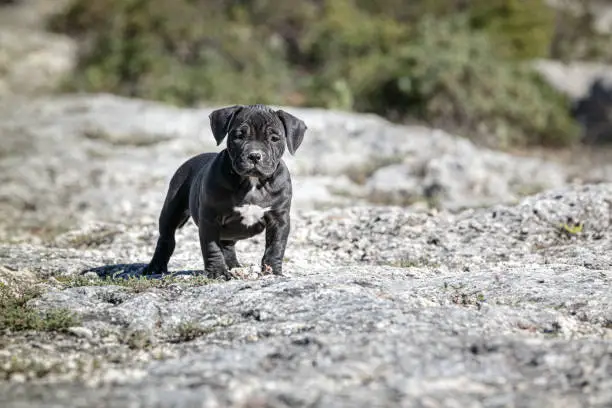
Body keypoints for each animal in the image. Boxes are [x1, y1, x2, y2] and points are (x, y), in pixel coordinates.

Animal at [142, 103, 306, 278]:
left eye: (274, 138)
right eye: (239, 136)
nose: (255, 155)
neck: (252, 182)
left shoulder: (279, 219)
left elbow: (275, 246)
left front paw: (272, 271)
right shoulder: (210, 218)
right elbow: (211, 247)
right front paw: (217, 272)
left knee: (227, 245)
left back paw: (234, 266)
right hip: (172, 209)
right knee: (166, 237)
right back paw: (155, 266)